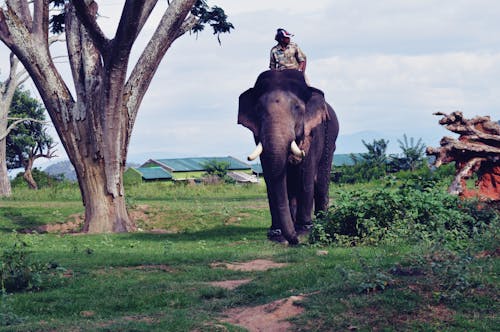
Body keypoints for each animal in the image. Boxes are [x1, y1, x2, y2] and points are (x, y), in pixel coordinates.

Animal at [238, 69, 340, 244]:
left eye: (297, 107)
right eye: (258, 109)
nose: (295, 241)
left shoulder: (313, 133)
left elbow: (305, 176)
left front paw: (304, 231)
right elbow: (271, 177)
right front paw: (276, 234)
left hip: (331, 140)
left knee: (320, 182)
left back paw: (321, 222)